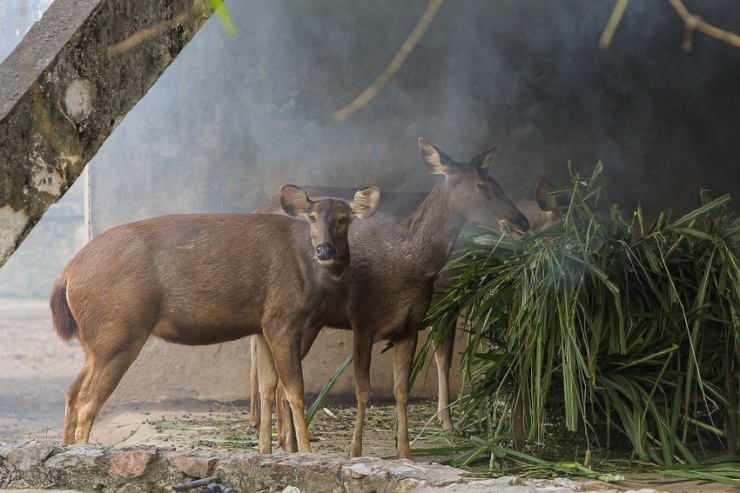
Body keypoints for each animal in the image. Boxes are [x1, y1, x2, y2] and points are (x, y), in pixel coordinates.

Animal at [50, 182, 382, 450]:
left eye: (343, 219)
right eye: (311, 218)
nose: (324, 250)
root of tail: (66, 275)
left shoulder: (263, 325)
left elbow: (267, 388)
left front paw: (265, 452)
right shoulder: (283, 319)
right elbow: (294, 392)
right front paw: (305, 453)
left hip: (95, 343)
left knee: (71, 392)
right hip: (119, 334)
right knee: (87, 401)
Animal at [251, 137, 528, 458]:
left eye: (497, 181)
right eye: (483, 185)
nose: (523, 222)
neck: (407, 264)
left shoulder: (411, 326)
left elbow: (402, 389)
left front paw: (405, 452)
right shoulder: (362, 320)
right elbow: (364, 389)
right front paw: (355, 450)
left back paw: (288, 444)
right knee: (281, 380)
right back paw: (284, 443)